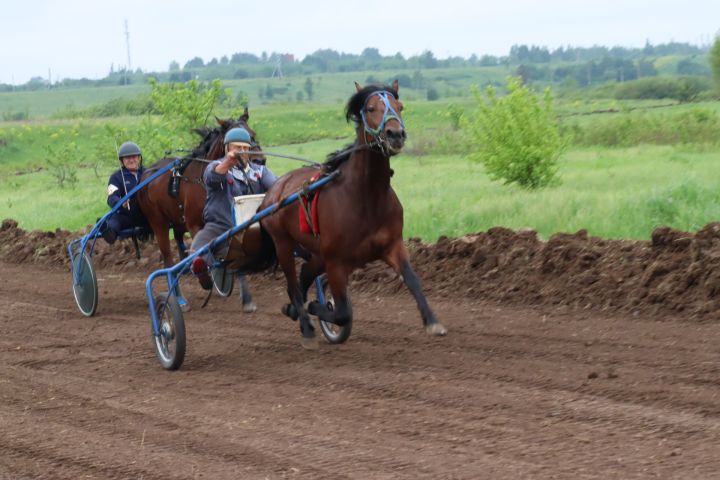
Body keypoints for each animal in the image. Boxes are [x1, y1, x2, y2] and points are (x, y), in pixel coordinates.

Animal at [262, 82, 448, 348]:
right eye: (370, 108)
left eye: (400, 106)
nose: (396, 134)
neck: (366, 197)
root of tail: (276, 188)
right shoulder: (337, 262)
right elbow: (341, 312)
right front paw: (318, 307)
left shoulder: (392, 245)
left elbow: (413, 280)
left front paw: (432, 322)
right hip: (283, 243)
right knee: (294, 285)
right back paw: (306, 327)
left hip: (318, 254)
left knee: (303, 276)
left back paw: (294, 311)